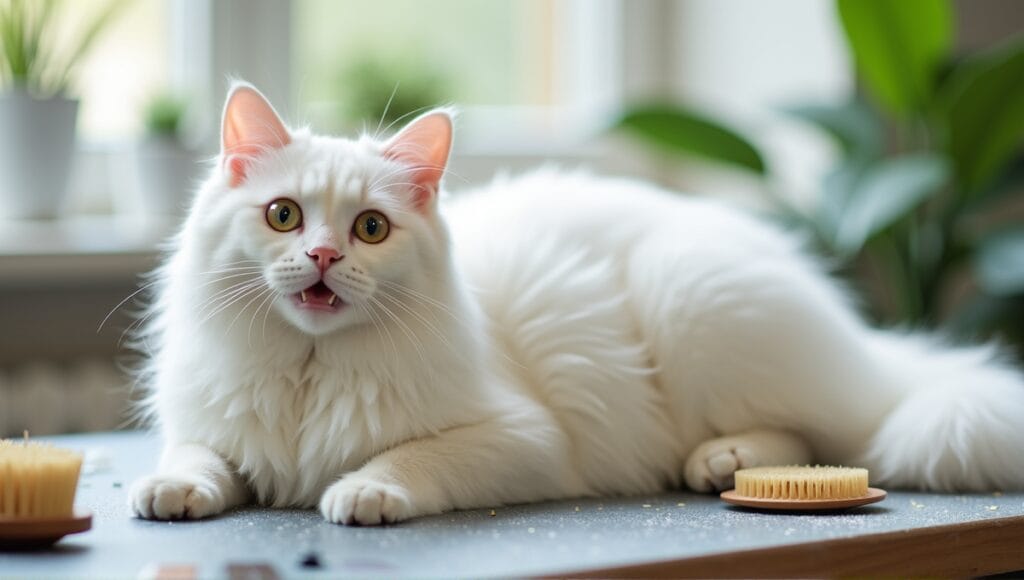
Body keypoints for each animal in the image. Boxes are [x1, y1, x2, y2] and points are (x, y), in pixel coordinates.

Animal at [128, 84, 1024, 524]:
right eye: (284, 216)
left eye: (371, 228)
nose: (322, 256)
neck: (309, 369)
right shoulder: (207, 425)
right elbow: (196, 457)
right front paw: (170, 493)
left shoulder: (524, 439)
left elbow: (408, 460)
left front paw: (363, 493)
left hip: (689, 297)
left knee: (825, 432)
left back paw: (722, 460)